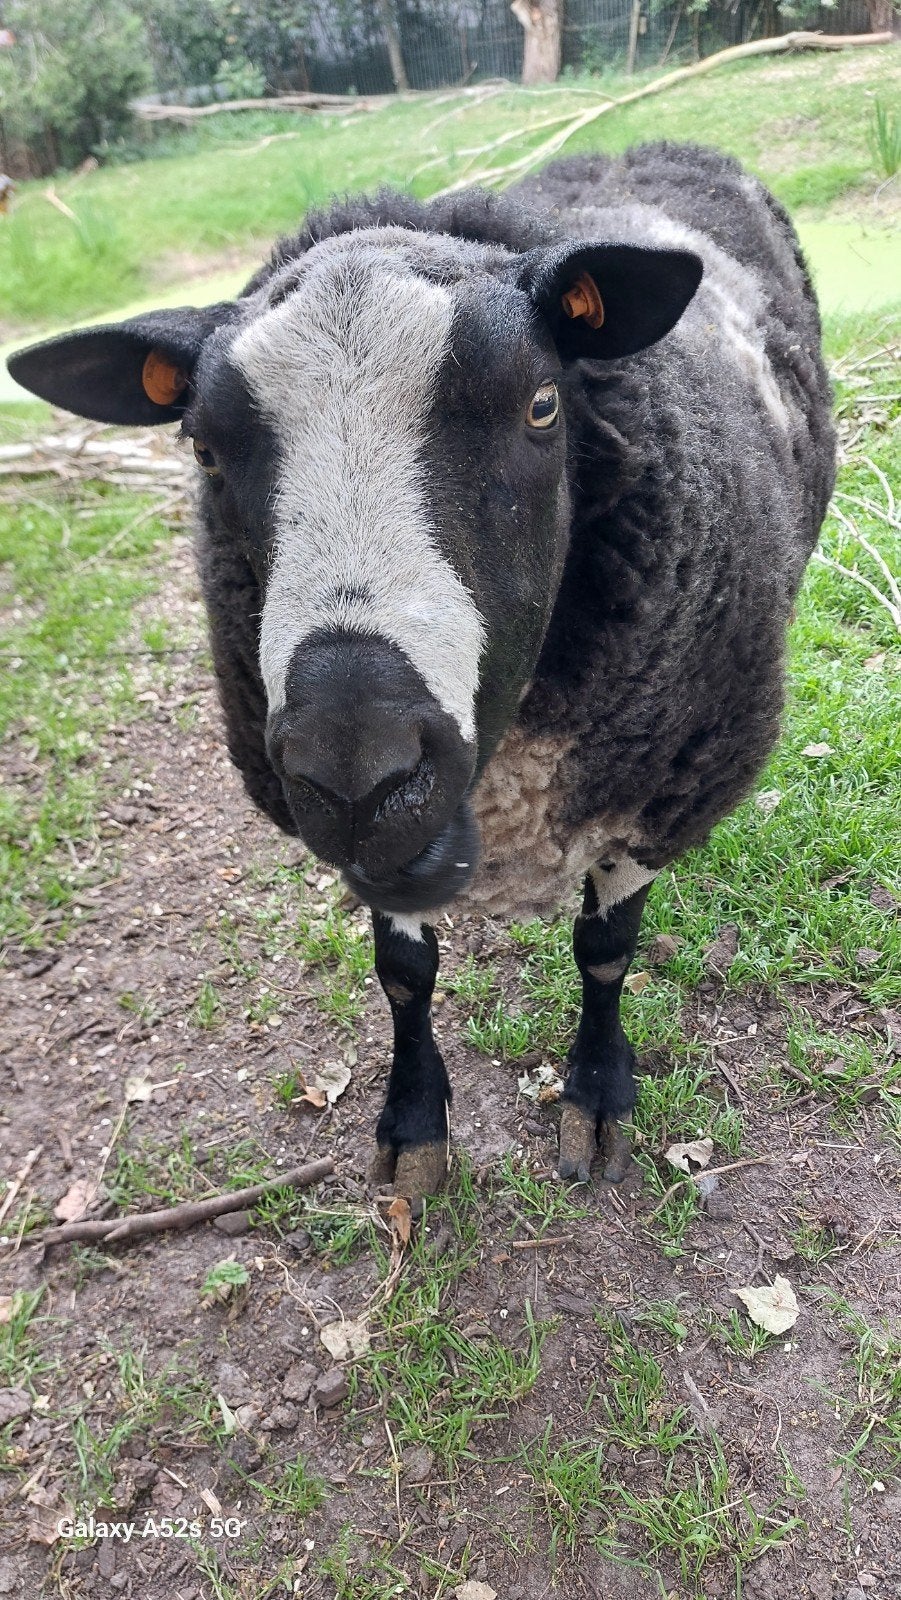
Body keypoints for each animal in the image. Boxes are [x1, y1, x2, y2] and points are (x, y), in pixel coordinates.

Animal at [9, 141, 836, 1211]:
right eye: (204, 447)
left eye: (541, 405)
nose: (360, 774)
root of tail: (636, 149)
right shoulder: (378, 858)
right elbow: (403, 971)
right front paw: (411, 1127)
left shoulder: (656, 789)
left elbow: (605, 952)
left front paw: (597, 1095)